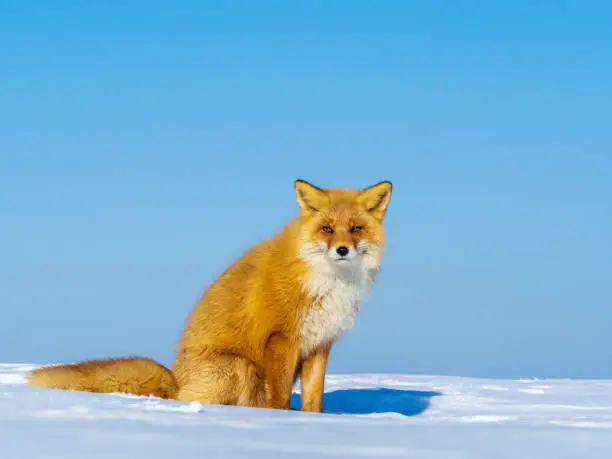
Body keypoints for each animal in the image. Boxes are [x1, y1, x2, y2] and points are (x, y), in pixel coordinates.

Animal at [27, 180, 392, 414]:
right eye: (327, 229)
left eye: (356, 229)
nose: (342, 250)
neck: (328, 282)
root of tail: (175, 380)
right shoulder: (281, 339)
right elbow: (280, 398)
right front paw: (280, 422)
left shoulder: (319, 344)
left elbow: (314, 402)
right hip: (239, 367)